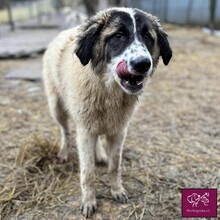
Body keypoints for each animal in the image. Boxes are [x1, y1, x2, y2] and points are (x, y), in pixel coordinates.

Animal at [42, 7, 172, 218]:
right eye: (118, 35)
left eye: (147, 36)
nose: (143, 64)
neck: (107, 91)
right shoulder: (85, 131)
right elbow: (88, 173)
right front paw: (89, 201)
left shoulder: (118, 131)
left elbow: (114, 166)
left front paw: (117, 190)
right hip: (57, 108)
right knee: (65, 131)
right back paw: (63, 152)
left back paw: (100, 154)